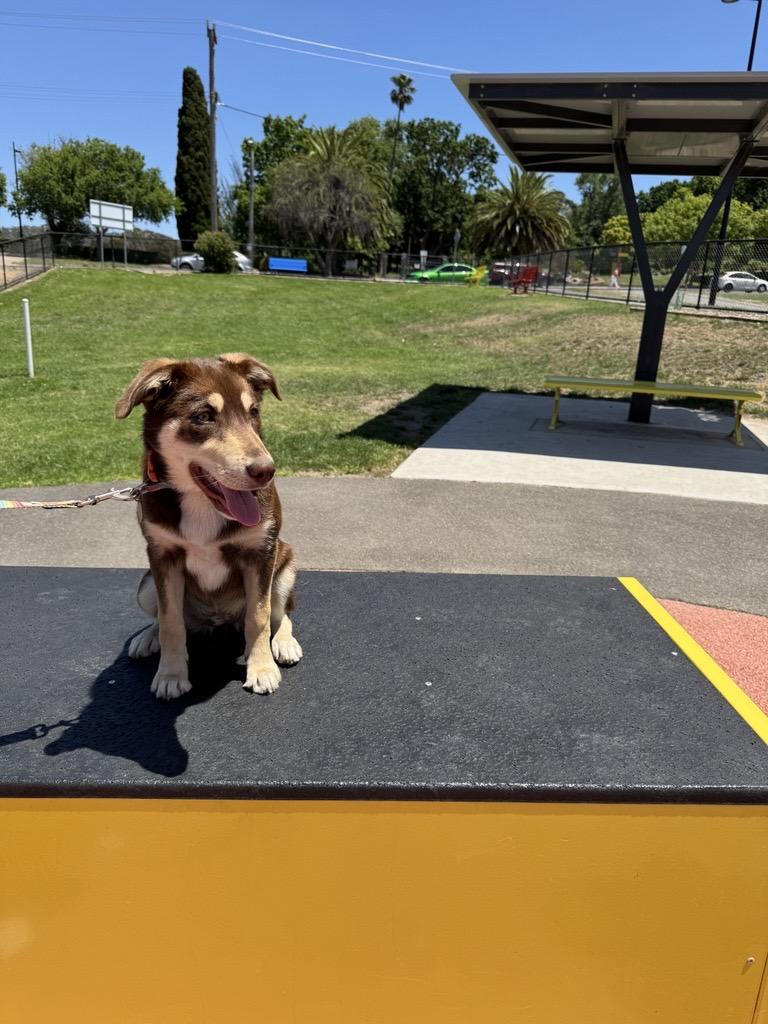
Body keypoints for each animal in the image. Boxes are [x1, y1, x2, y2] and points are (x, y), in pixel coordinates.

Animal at [115, 350, 303, 696]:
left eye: (253, 412)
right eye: (204, 416)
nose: (266, 471)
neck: (201, 503)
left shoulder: (261, 554)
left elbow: (259, 616)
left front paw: (262, 669)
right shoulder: (163, 555)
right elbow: (170, 620)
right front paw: (170, 675)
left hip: (284, 567)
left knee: (281, 612)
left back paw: (284, 643)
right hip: (146, 585)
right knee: (162, 616)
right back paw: (147, 637)